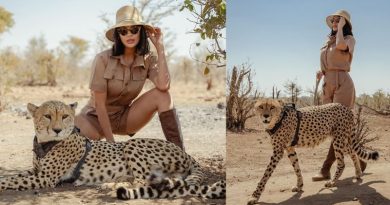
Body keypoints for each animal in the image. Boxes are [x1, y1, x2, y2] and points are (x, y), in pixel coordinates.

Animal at [0, 101, 225, 200]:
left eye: (65, 116)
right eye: (47, 116)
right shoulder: (36, 171)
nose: (57, 129)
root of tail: (185, 152)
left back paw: (110, 185)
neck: (45, 142)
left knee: (144, 181)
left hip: (132, 144)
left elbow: (11, 181)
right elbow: (14, 176)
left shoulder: (45, 178)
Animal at [248, 98, 380, 204]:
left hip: (338, 139)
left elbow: (266, 174)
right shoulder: (289, 148)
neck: (278, 118)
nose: (265, 115)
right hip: (340, 138)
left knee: (342, 162)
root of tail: (345, 107)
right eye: (261, 107)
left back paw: (332, 182)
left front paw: (255, 196)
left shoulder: (278, 151)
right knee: (352, 151)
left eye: (272, 107)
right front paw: (299, 185)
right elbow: (296, 167)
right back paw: (358, 173)